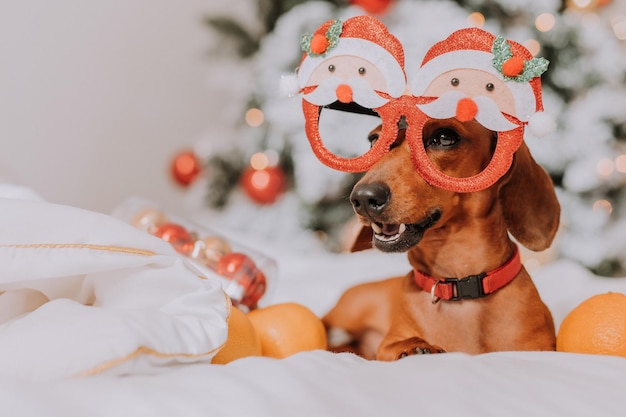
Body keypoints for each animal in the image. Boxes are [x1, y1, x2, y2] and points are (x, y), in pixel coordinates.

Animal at [322, 118, 556, 360]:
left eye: (444, 137)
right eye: (374, 141)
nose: (363, 198)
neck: (459, 285)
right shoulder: (387, 344)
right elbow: (394, 345)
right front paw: (415, 347)